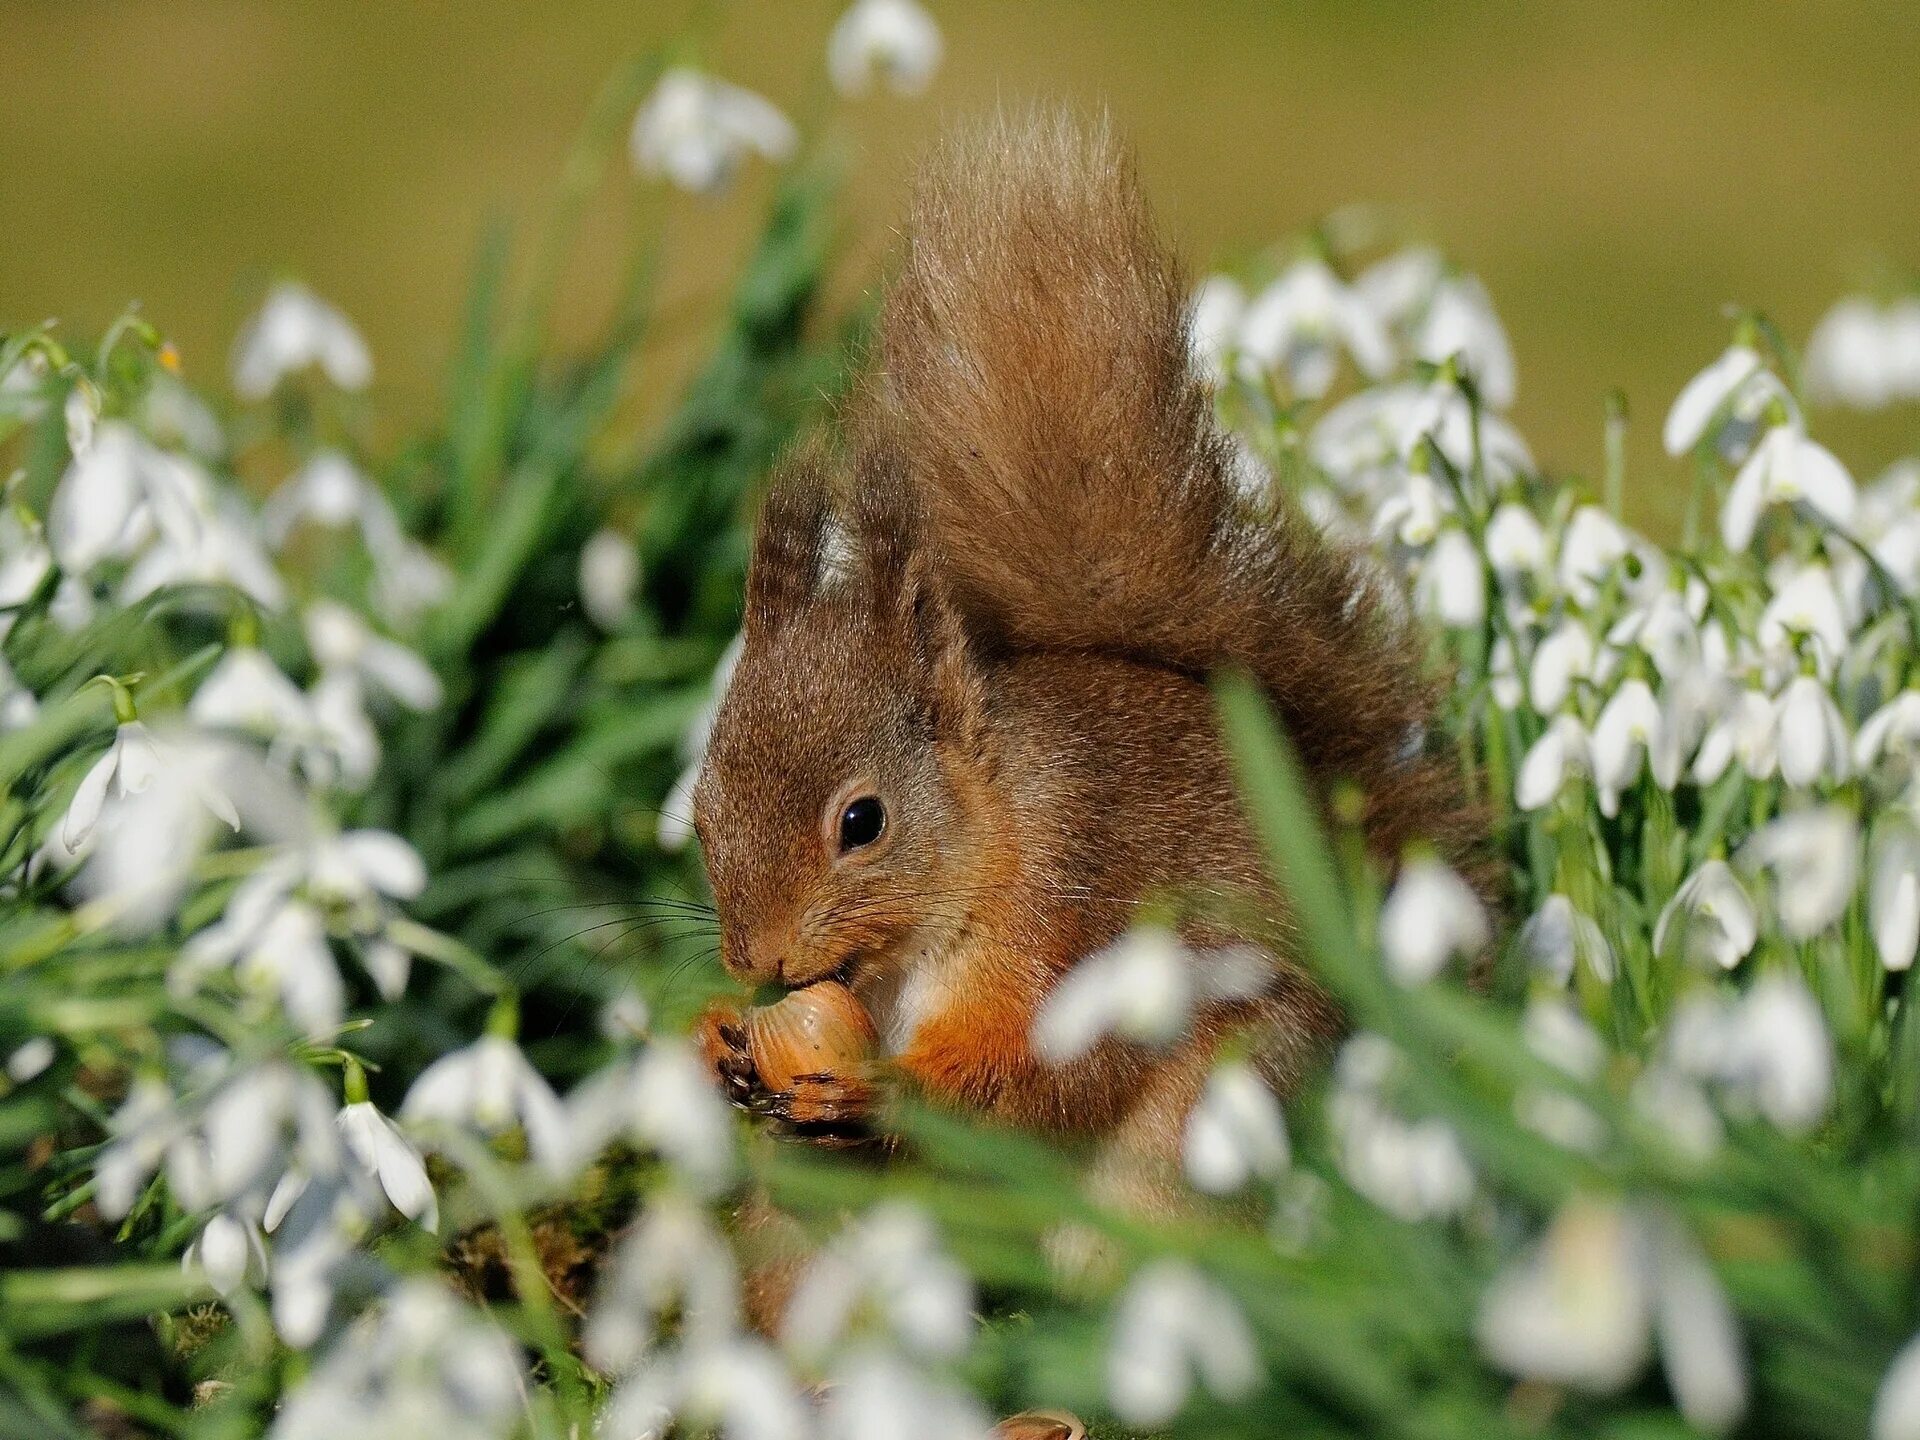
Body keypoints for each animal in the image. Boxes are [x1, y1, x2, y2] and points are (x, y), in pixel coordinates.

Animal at [695, 115, 1482, 1228]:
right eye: (700, 816)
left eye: (863, 821)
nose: (756, 961)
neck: (992, 823)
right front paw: (716, 1041)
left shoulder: (1070, 905)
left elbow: (1031, 1068)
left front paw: (878, 1089)